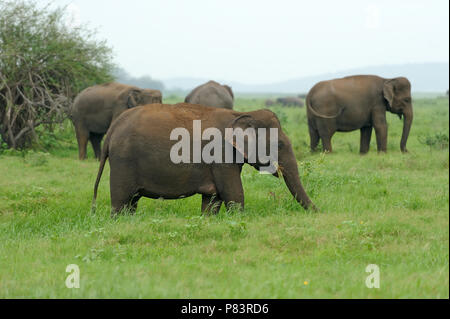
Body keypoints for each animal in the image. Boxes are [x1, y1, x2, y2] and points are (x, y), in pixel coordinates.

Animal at [92, 104, 316, 216]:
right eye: (280, 145)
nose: (317, 212)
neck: (241, 114)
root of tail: (113, 128)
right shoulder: (220, 153)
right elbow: (234, 194)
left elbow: (213, 199)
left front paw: (207, 220)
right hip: (123, 161)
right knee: (121, 201)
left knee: (132, 202)